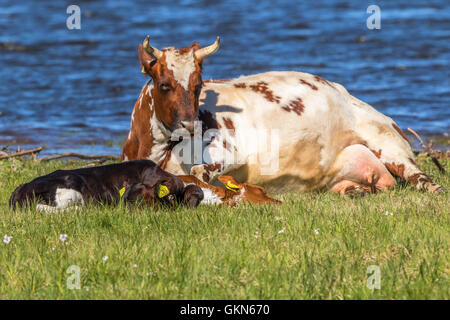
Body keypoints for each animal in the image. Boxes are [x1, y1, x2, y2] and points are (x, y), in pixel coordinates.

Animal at [121, 35, 444, 195]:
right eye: (164, 84)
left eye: (198, 84)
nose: (190, 125)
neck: (156, 151)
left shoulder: (229, 151)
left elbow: (201, 172)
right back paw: (356, 191)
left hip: (387, 142)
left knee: (417, 176)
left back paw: (434, 188)